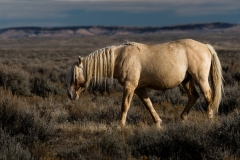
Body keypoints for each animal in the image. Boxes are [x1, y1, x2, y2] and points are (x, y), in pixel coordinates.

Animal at [66, 38, 224, 127]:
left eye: (75, 75)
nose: (70, 94)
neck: (119, 58)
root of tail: (205, 46)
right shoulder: (139, 88)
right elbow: (148, 104)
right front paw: (158, 122)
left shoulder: (130, 86)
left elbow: (125, 106)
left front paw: (120, 125)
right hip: (186, 81)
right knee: (193, 97)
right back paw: (182, 119)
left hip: (200, 79)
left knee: (208, 97)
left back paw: (209, 120)